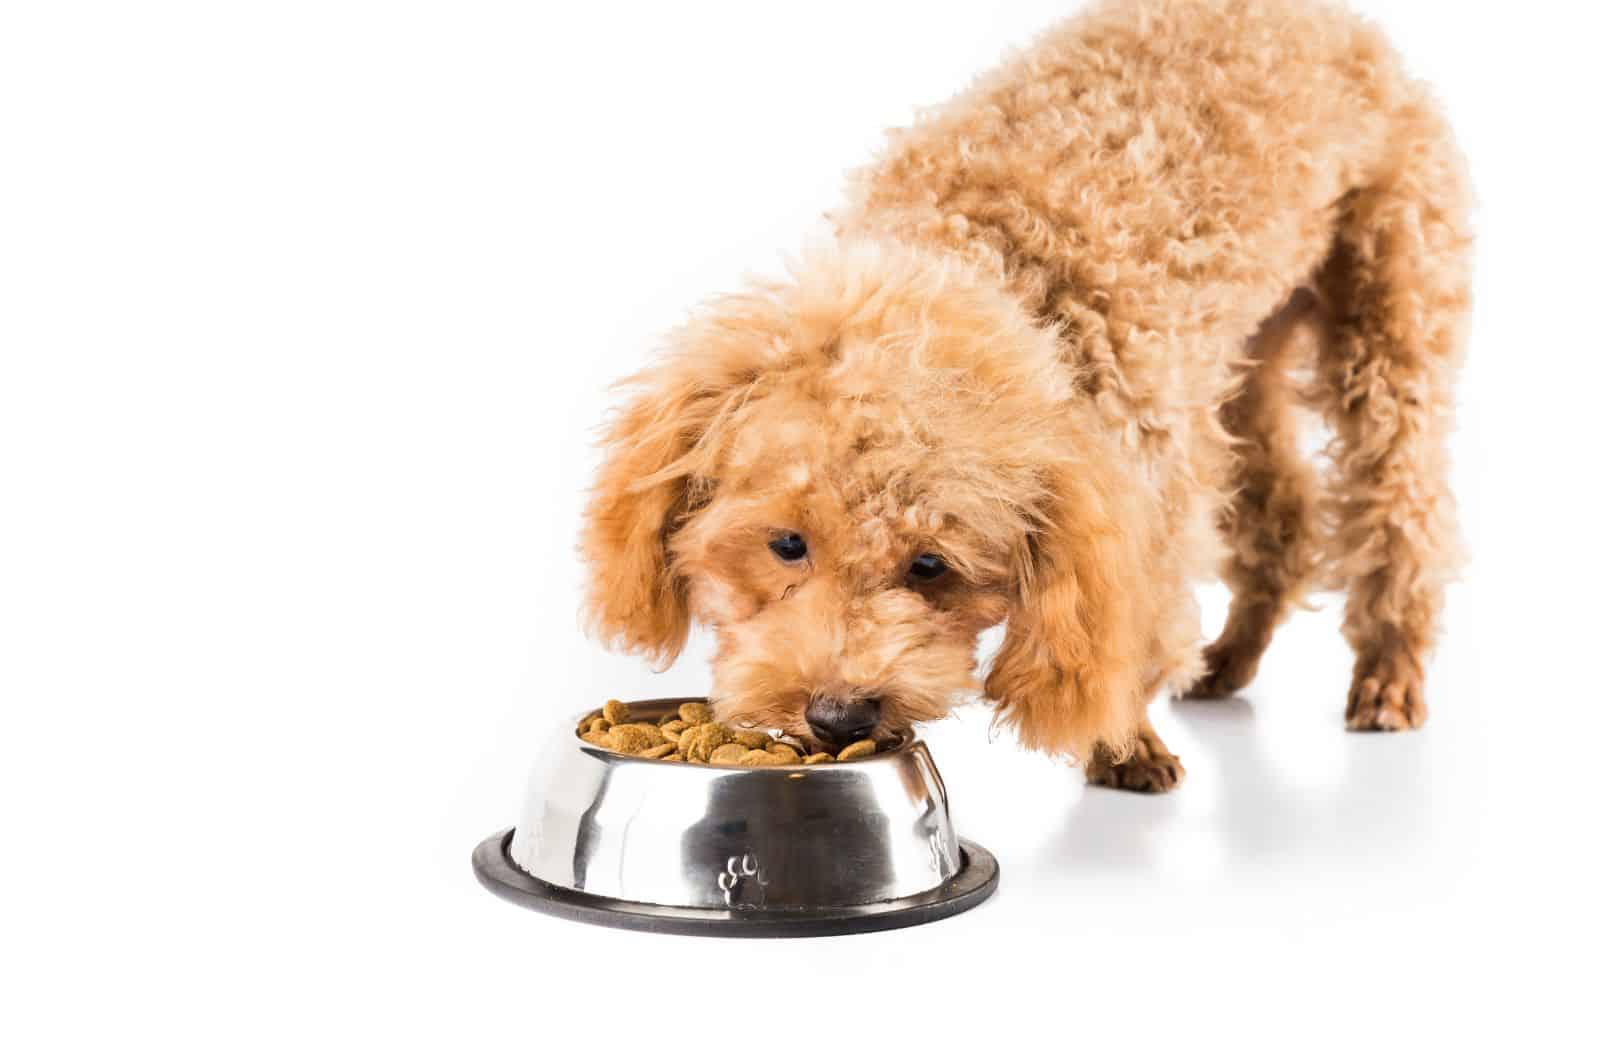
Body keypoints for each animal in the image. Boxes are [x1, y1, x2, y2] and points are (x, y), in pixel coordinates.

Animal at [579, 0, 1472, 794]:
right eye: (786, 544)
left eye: (931, 566)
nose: (839, 716)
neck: (977, 263)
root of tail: (1326, 17)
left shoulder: (1141, 496)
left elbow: (1133, 633)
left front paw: (1126, 746)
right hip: (1242, 362)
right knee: (1283, 510)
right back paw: (1230, 658)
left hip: (1390, 312)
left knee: (1401, 507)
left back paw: (1389, 673)